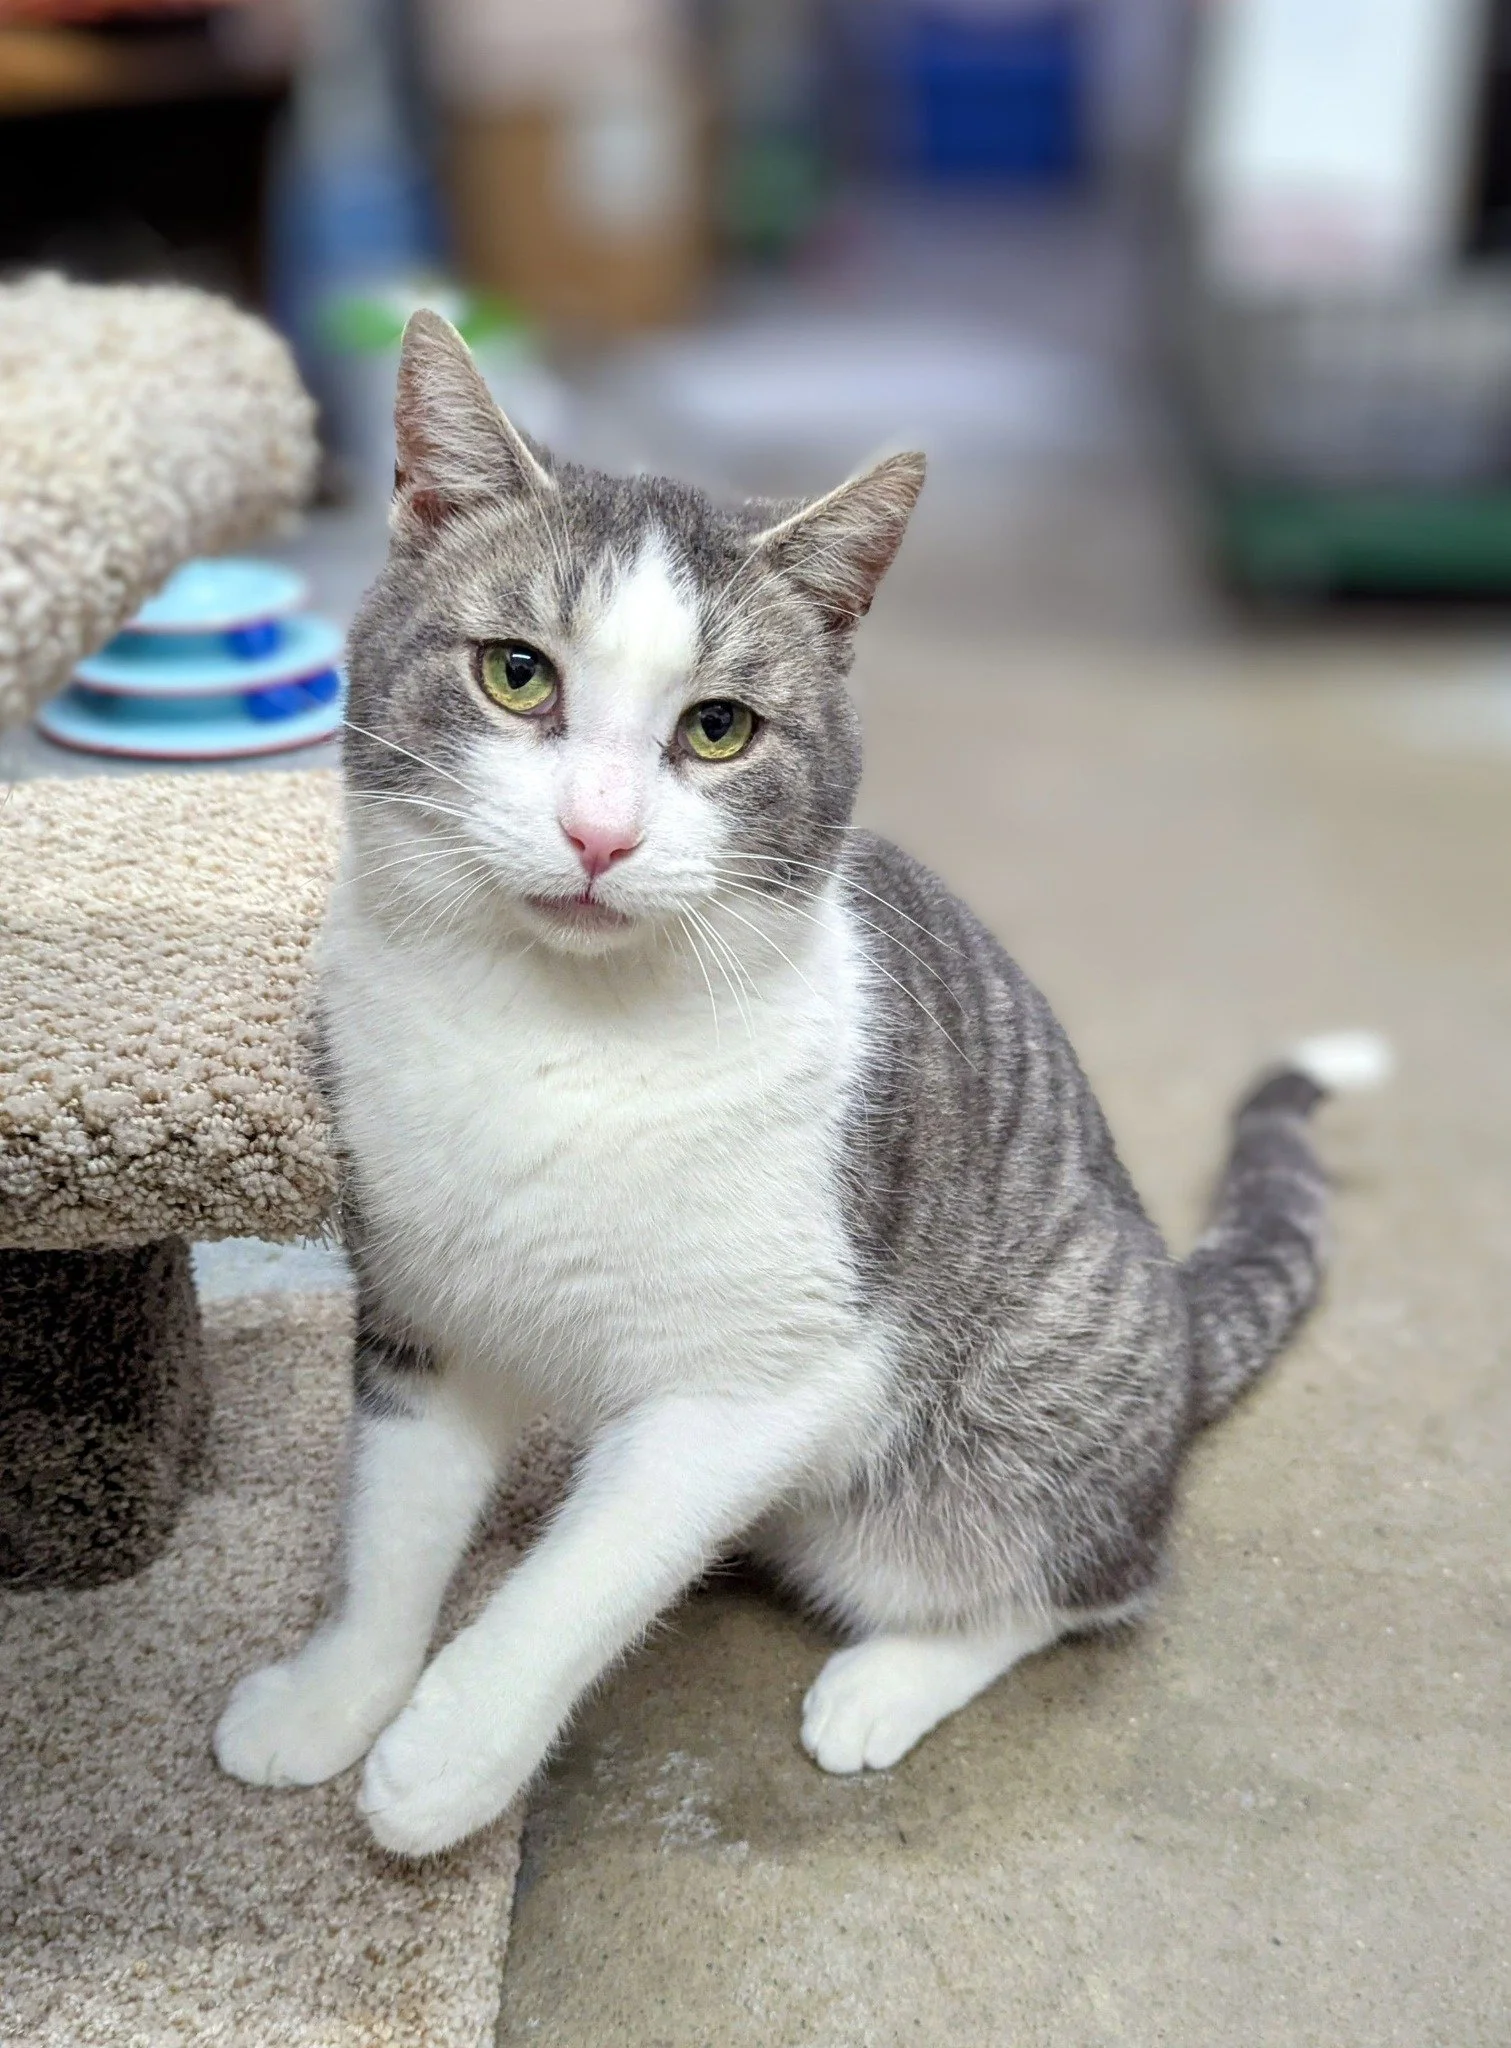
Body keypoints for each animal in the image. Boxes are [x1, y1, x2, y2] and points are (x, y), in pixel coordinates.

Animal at [214, 310, 1389, 1858]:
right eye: (516, 674)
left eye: (717, 729)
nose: (598, 833)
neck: (547, 1035)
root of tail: (1181, 1322)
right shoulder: (422, 1311)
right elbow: (391, 1528)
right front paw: (337, 1694)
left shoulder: (761, 1381)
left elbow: (577, 1578)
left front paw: (447, 1755)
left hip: (994, 1434)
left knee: (1074, 1582)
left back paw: (889, 1678)